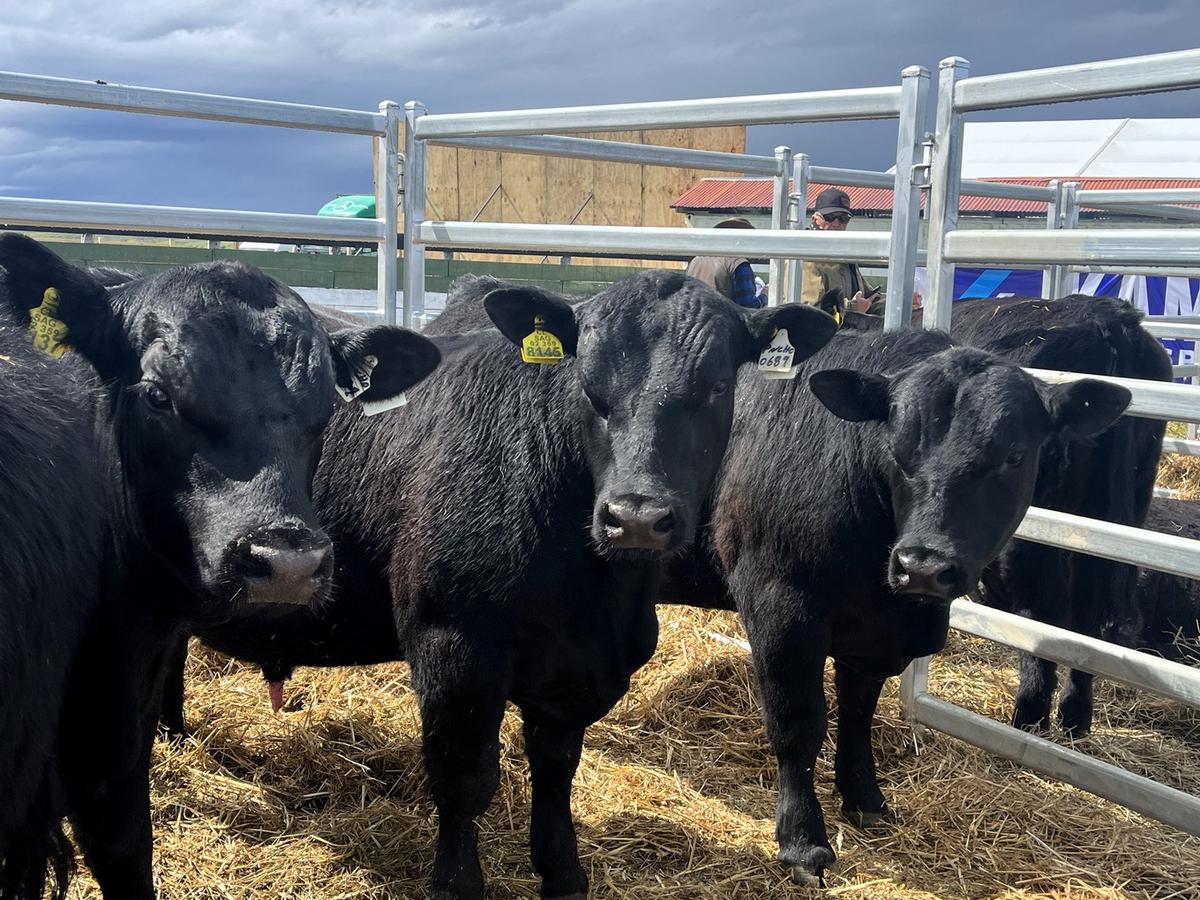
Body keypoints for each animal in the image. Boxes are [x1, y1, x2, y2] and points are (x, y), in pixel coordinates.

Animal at [157, 273, 835, 900]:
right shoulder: (454, 645)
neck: (595, 595)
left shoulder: (580, 669)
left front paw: (563, 872)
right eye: (588, 385)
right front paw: (457, 883)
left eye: (717, 387)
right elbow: (464, 776)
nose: (637, 517)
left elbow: (556, 766)